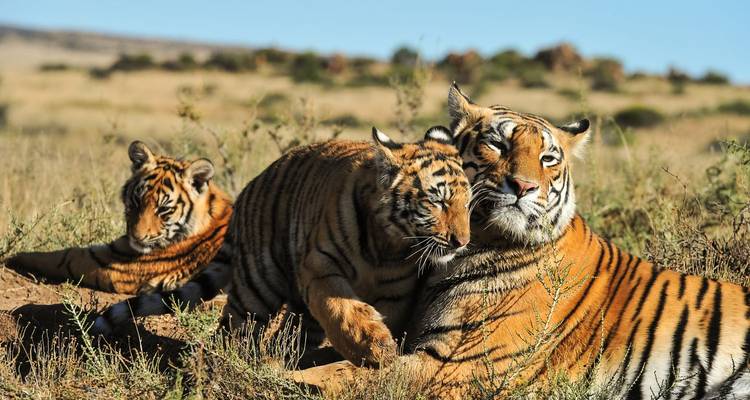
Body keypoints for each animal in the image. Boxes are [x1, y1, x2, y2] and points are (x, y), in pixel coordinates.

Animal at [5, 141, 232, 295]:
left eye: (163, 210)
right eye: (137, 201)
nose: (137, 237)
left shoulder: (110, 261)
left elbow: (62, 257)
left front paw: (12, 258)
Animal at [94, 126, 472, 367]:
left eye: (467, 203)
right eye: (437, 201)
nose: (462, 242)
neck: (388, 245)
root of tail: (249, 188)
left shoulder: (396, 291)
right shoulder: (320, 265)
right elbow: (341, 306)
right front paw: (373, 346)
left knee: (295, 330)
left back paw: (284, 357)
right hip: (258, 284)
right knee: (234, 327)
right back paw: (230, 364)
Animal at [293, 84, 750, 399]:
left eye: (548, 159)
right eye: (497, 143)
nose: (525, 186)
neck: (477, 245)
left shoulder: (457, 365)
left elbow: (349, 376)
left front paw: (290, 377)